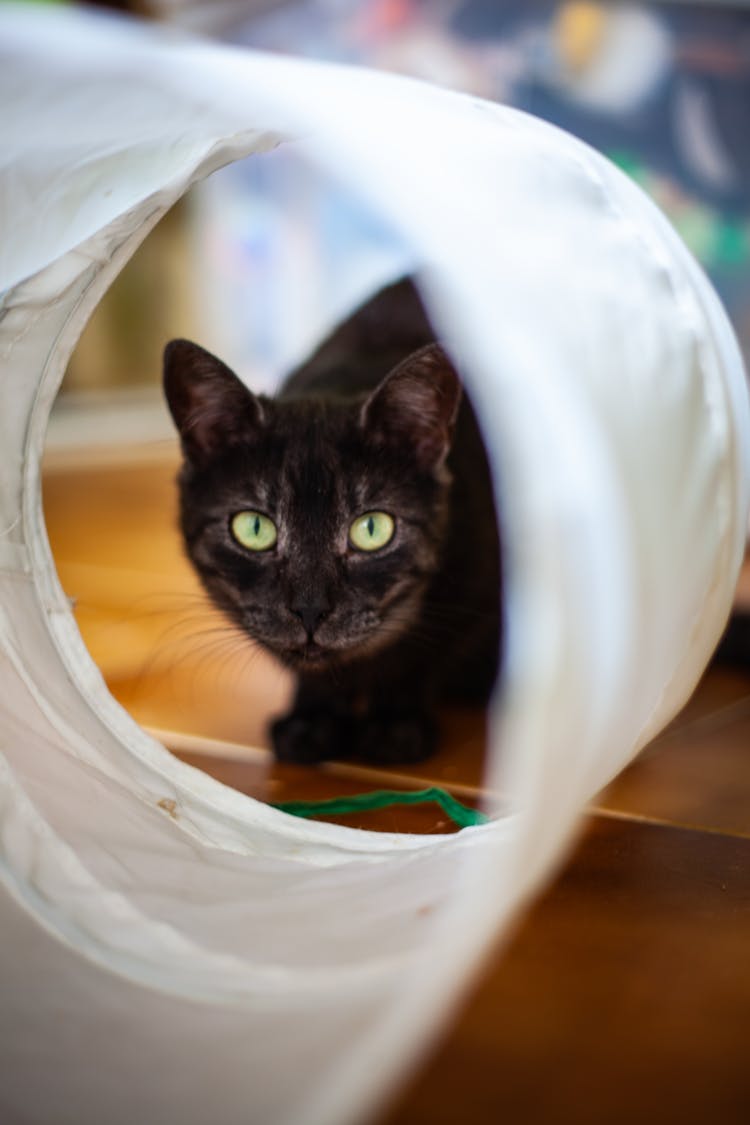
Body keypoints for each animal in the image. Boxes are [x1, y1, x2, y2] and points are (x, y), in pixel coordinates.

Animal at [165, 279, 503, 765]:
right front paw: (312, 721)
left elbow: (418, 657)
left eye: (372, 529)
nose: (309, 609)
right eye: (254, 529)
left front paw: (395, 726)